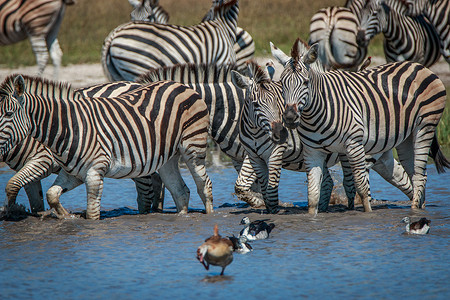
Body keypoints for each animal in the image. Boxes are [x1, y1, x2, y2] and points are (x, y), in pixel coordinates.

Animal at [0, 76, 214, 219]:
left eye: (9, 114)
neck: (69, 126)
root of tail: (180, 84)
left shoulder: (91, 172)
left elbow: (92, 214)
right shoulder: (73, 173)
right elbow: (50, 195)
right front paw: (65, 216)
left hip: (192, 148)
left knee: (204, 185)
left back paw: (209, 217)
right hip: (166, 158)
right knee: (180, 191)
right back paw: (181, 218)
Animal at [102, 0, 241, 81]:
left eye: (149, 16)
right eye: (131, 15)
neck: (222, 24)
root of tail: (113, 34)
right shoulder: (223, 63)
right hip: (137, 68)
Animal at [232, 59, 418, 213]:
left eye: (278, 105)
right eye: (255, 104)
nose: (281, 132)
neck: (255, 132)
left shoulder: (275, 154)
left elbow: (269, 191)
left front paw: (272, 212)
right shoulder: (254, 157)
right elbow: (256, 187)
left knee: (353, 184)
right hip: (380, 154)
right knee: (401, 179)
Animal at [270, 39, 450, 213]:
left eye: (306, 83)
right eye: (282, 83)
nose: (290, 118)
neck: (318, 111)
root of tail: (418, 66)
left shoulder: (354, 145)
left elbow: (362, 188)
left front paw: (367, 215)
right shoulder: (312, 152)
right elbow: (313, 194)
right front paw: (312, 217)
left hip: (425, 126)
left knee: (419, 175)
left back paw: (414, 212)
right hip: (405, 136)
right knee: (410, 175)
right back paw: (419, 208)